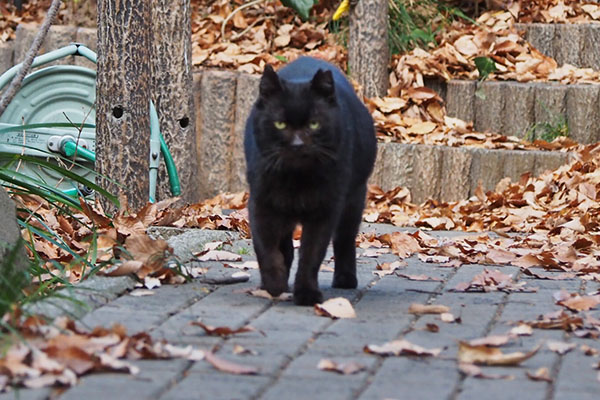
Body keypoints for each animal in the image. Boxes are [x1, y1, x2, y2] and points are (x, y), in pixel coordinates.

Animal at [244, 57, 376, 306]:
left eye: (314, 124)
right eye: (280, 124)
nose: (297, 144)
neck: (297, 179)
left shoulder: (324, 210)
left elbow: (312, 254)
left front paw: (306, 293)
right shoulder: (261, 203)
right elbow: (266, 248)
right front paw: (274, 284)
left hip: (354, 199)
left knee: (345, 240)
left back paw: (345, 279)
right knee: (285, 246)